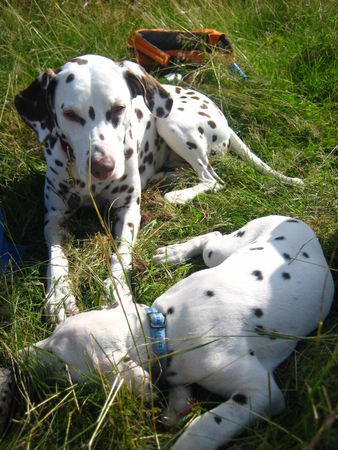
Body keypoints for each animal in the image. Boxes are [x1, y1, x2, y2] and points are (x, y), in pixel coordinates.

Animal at [0, 215, 332, 446]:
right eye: (52, 334)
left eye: (61, 363)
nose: (15, 360)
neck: (163, 329)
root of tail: (299, 222)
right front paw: (176, 406)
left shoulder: (260, 391)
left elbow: (206, 425)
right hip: (220, 253)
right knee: (211, 239)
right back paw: (171, 253)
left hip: (227, 247)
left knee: (214, 238)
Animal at [14, 54, 302, 320]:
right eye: (70, 114)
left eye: (119, 108)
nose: (102, 167)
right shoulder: (54, 220)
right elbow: (56, 258)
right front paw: (60, 296)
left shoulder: (129, 211)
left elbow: (122, 254)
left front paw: (117, 289)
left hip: (171, 122)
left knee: (212, 178)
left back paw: (178, 194)